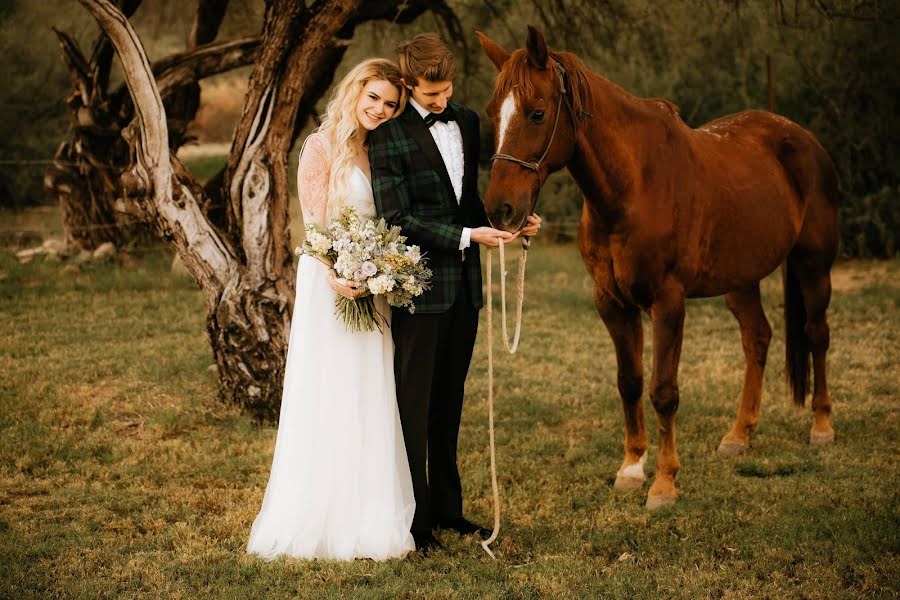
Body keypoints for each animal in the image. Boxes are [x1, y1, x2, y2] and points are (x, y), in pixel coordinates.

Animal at [482, 25, 840, 508]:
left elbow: (663, 391)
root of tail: (803, 138)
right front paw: (632, 468)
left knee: (816, 334)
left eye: (537, 113)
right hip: (741, 279)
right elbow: (630, 381)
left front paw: (665, 484)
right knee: (757, 339)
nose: (499, 209)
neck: (634, 186)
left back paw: (821, 426)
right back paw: (738, 435)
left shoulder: (668, 303)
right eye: (491, 114)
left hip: (813, 265)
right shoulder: (612, 303)